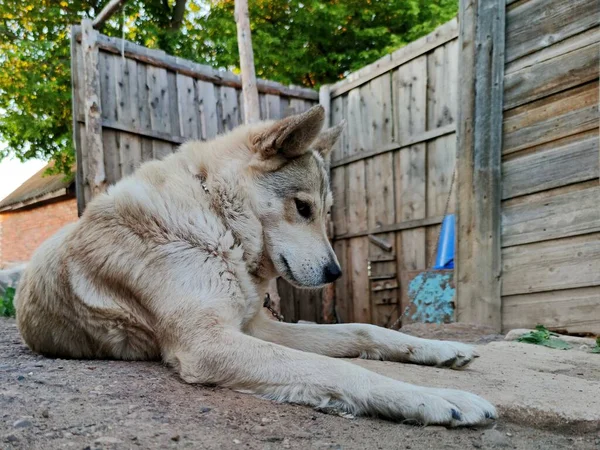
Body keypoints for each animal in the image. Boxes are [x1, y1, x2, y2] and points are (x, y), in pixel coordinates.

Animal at [15, 104, 496, 426]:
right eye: (302, 208)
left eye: (326, 211)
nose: (335, 274)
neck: (214, 216)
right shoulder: (210, 343)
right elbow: (339, 368)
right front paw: (438, 399)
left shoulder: (257, 327)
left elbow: (363, 331)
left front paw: (440, 350)